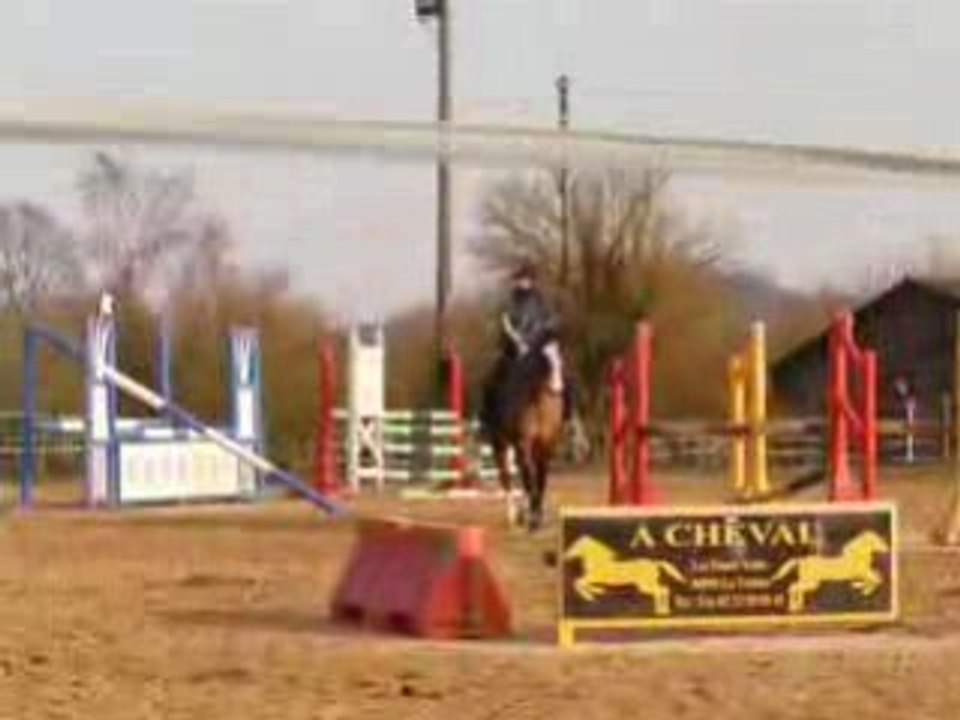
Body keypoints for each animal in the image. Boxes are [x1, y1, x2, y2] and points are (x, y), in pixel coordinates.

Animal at [483, 343, 565, 532]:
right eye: (543, 361)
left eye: (560, 360)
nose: (557, 388)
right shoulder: (523, 444)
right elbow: (529, 480)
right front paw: (533, 520)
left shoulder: (545, 446)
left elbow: (540, 479)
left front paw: (537, 516)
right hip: (500, 442)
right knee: (506, 476)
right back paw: (513, 516)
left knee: (521, 474)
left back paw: (523, 512)